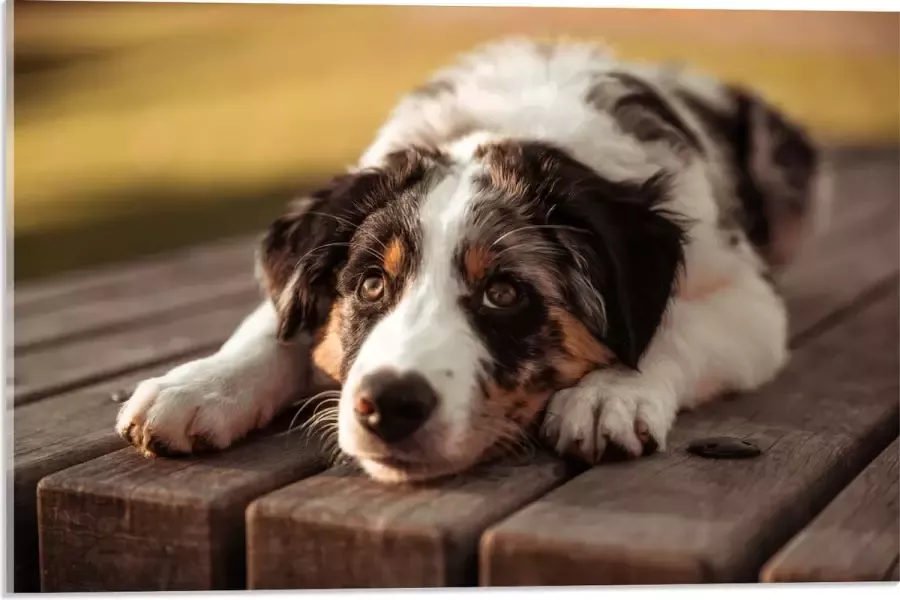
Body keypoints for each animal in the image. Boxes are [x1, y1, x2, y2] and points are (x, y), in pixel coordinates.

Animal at [114, 38, 828, 482]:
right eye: (370, 285)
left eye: (504, 293)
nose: (388, 406)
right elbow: (274, 322)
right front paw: (198, 386)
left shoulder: (750, 300)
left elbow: (673, 326)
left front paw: (610, 395)